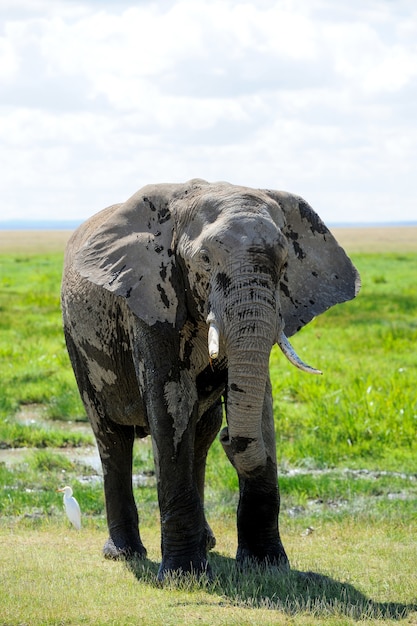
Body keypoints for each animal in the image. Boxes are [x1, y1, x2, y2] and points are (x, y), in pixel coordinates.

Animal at [60, 178, 360, 576]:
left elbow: (261, 397)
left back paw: (207, 542)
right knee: (113, 439)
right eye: (203, 260)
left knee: (201, 436)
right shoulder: (152, 295)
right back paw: (124, 554)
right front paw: (182, 576)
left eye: (284, 263)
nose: (230, 438)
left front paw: (266, 565)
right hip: (77, 344)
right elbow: (171, 401)